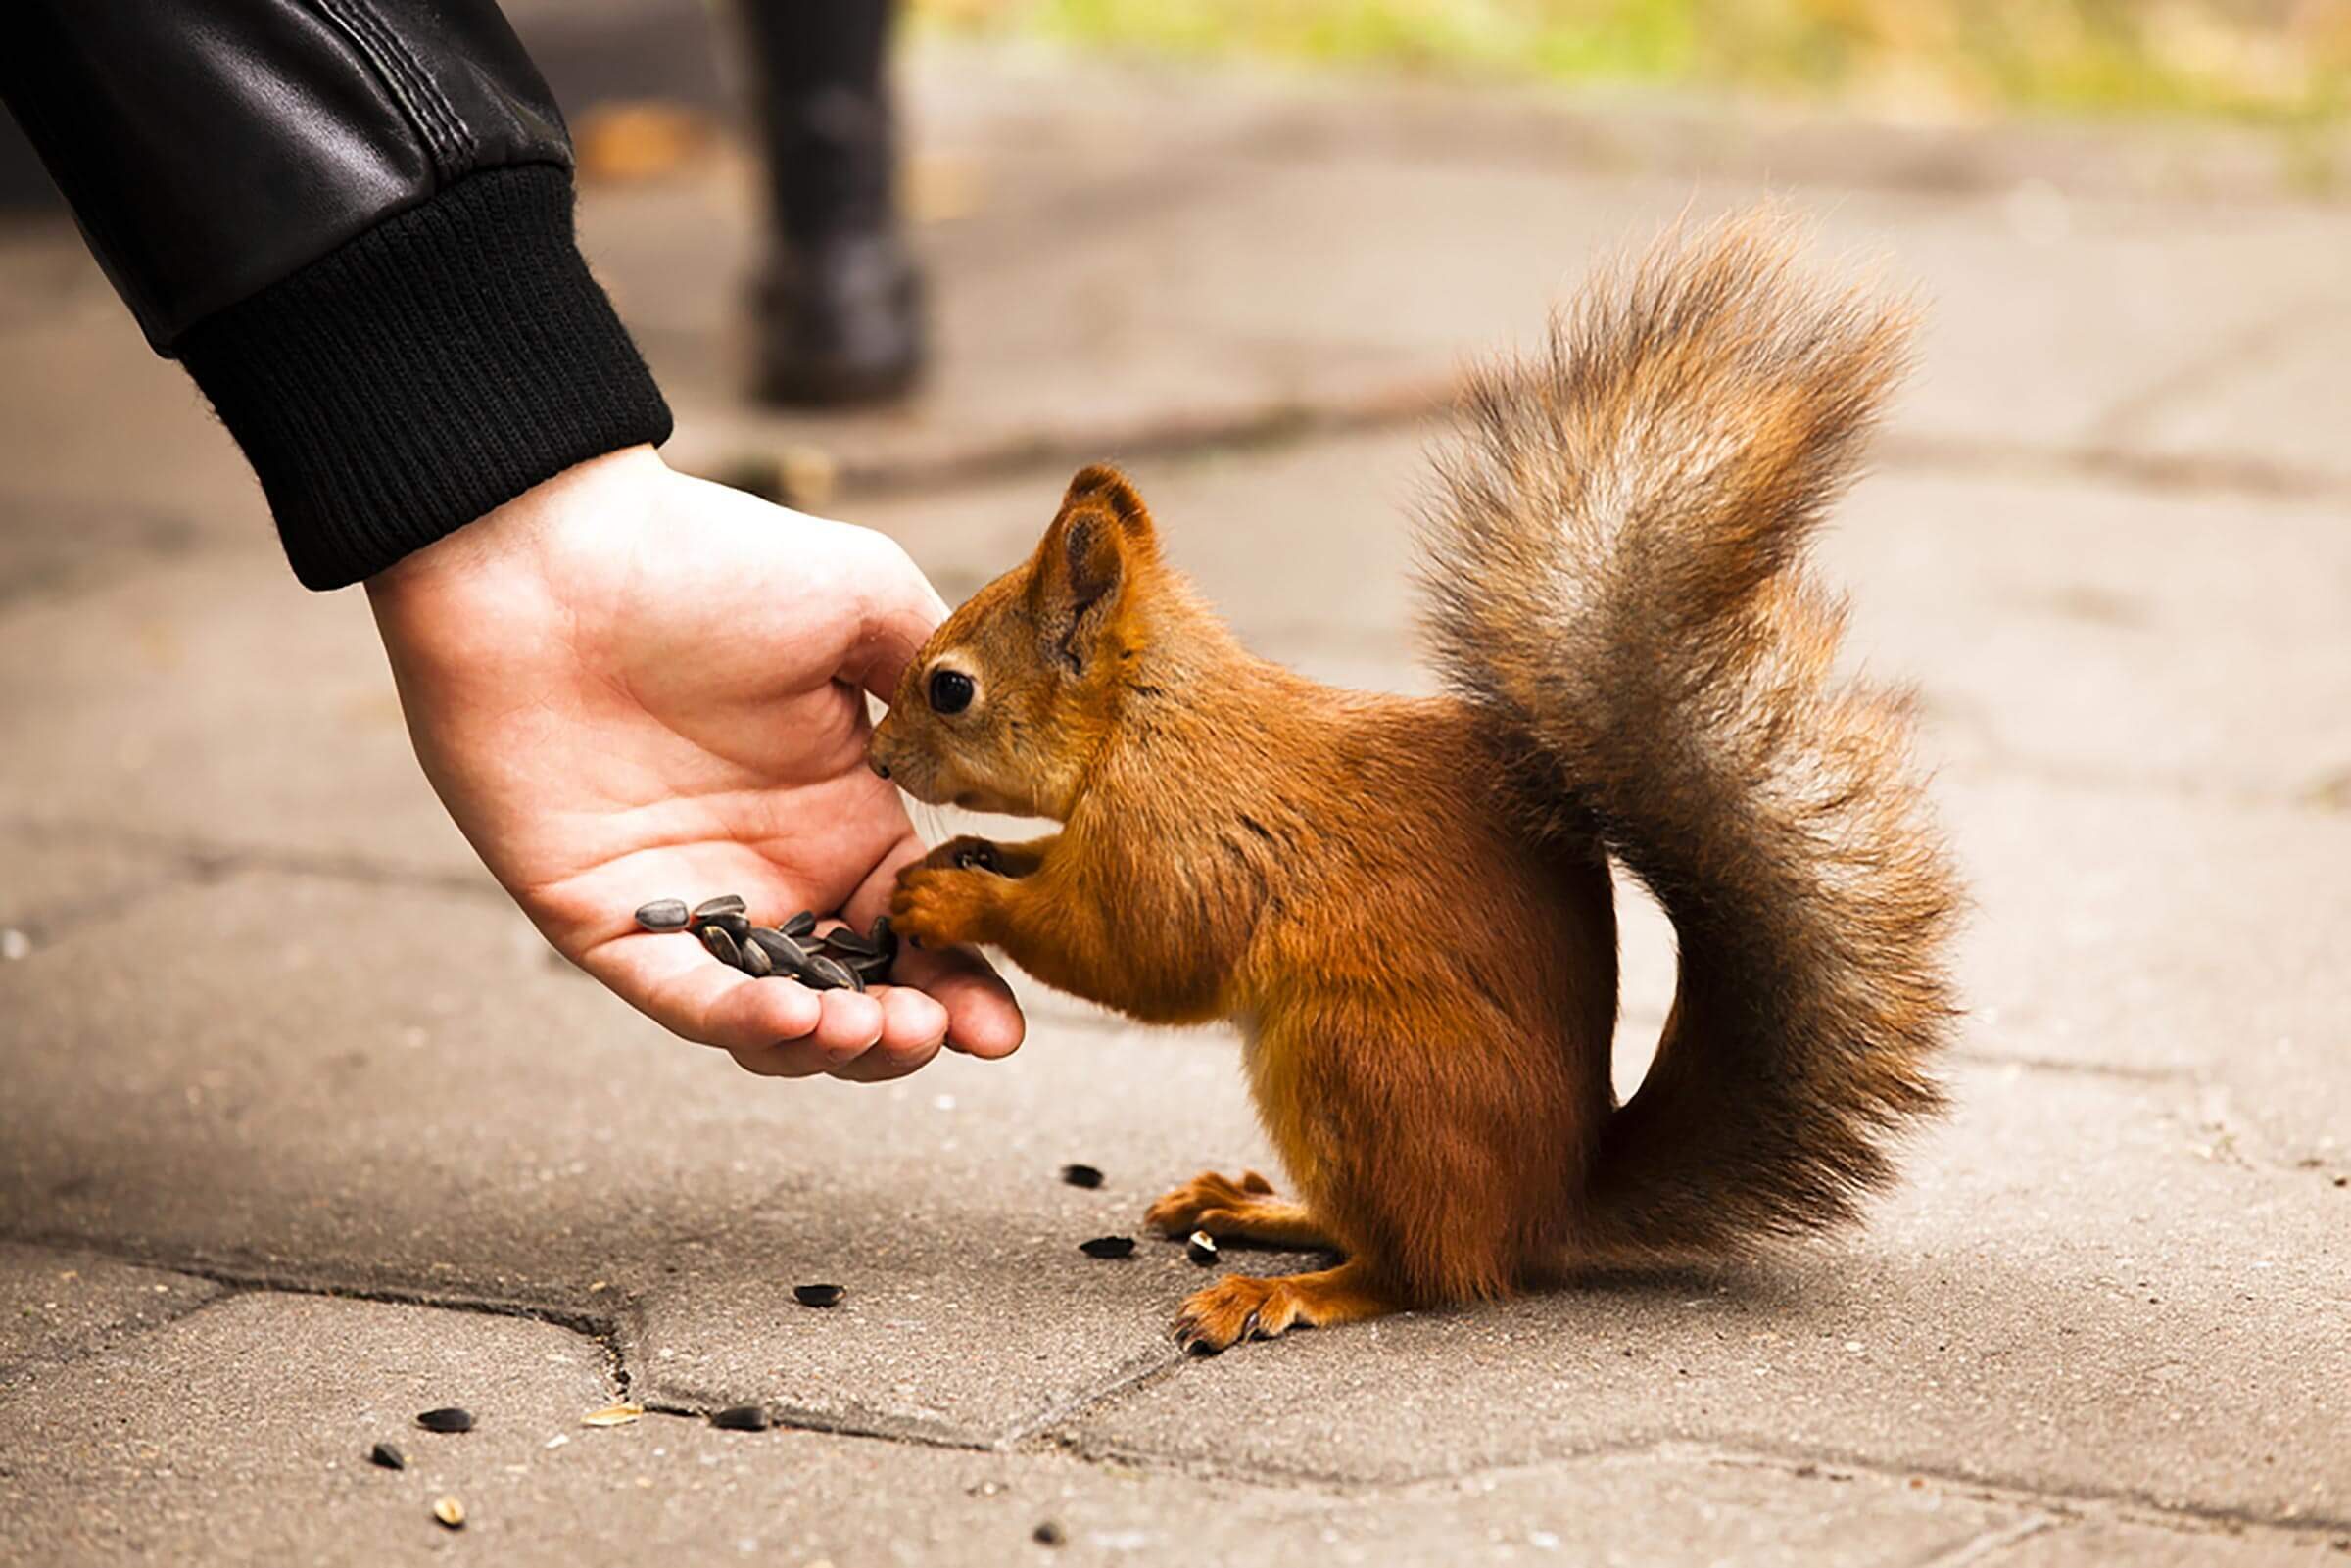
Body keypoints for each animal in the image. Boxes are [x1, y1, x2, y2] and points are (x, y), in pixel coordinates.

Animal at [868, 212, 1960, 1355]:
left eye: (950, 688)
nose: (880, 758)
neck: (1148, 719)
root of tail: (1547, 1209)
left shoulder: (1186, 835)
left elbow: (1135, 949)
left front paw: (956, 895)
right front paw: (975, 853)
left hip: (1357, 1059)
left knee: (1424, 1269)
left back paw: (1283, 1288)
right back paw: (1254, 1208)